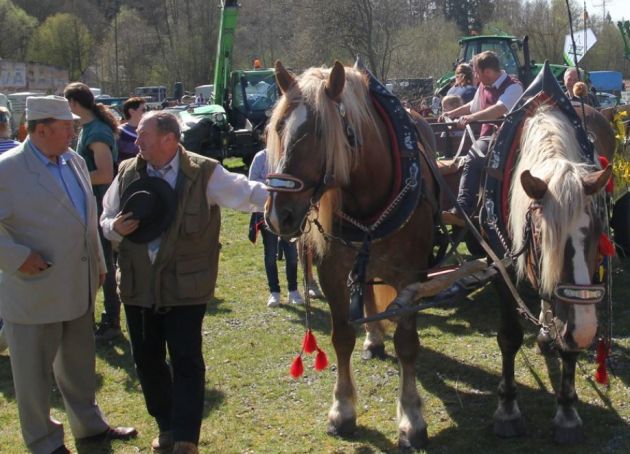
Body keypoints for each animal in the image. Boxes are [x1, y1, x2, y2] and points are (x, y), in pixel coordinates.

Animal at [264, 61, 442, 450]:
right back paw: (373, 338)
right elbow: (342, 336)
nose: (278, 215)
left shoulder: (410, 277)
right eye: (279, 127)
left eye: (318, 132)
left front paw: (411, 417)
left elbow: (408, 344)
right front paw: (342, 410)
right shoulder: (332, 272)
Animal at [498, 103, 612, 444]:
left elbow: (568, 345)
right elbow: (509, 337)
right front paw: (507, 408)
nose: (587, 332)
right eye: (541, 237)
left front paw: (567, 414)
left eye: (599, 230)